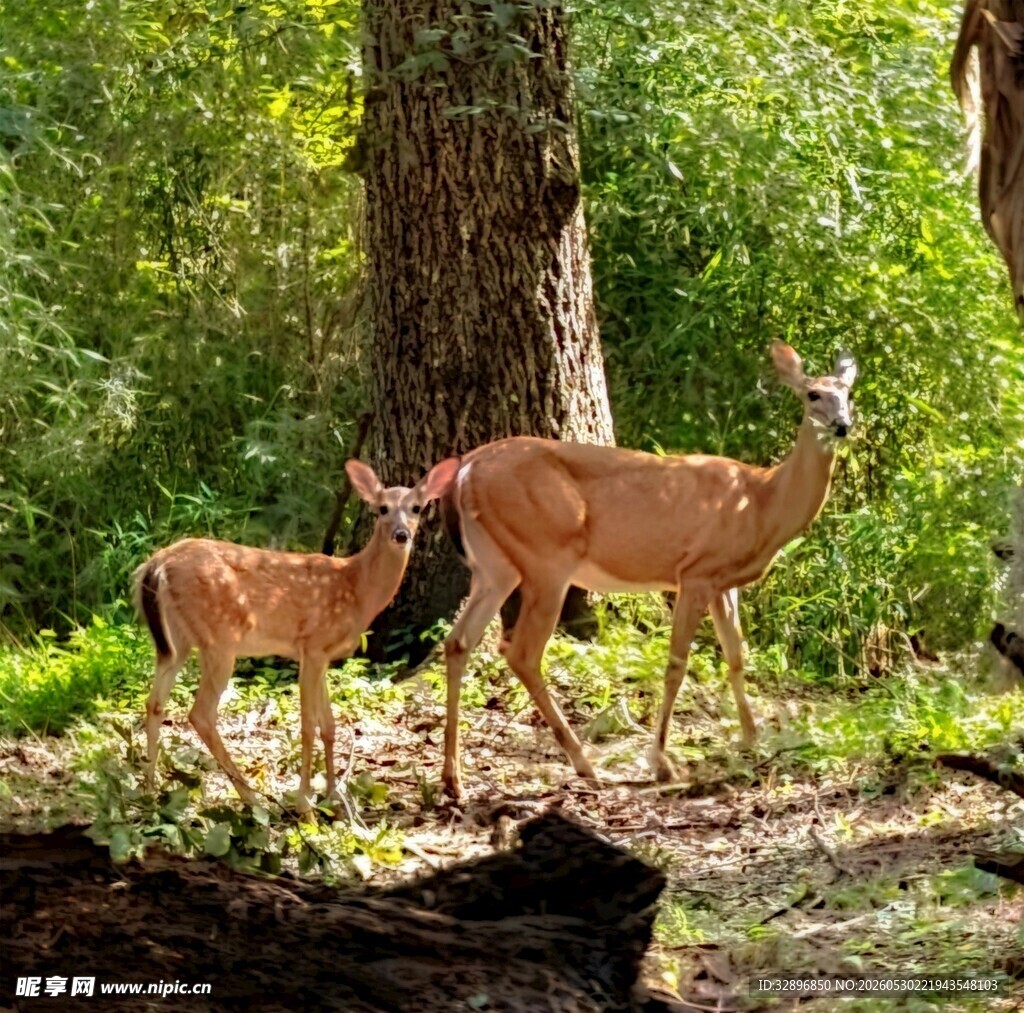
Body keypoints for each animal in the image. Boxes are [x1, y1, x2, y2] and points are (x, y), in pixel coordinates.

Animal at [135, 457, 460, 813]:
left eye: (416, 507)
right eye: (382, 508)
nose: (401, 535)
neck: (357, 587)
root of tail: (156, 564)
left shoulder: (322, 654)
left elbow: (329, 726)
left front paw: (334, 796)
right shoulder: (313, 645)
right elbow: (308, 726)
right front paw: (306, 803)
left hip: (176, 641)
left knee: (154, 702)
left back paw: (149, 789)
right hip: (219, 639)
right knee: (201, 713)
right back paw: (250, 796)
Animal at [440, 341, 857, 799]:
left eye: (848, 394)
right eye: (813, 394)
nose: (842, 426)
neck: (763, 502)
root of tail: (466, 470)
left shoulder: (723, 582)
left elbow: (735, 655)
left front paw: (751, 739)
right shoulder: (695, 572)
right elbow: (677, 664)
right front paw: (662, 761)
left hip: (495, 565)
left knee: (458, 641)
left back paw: (453, 779)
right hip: (546, 556)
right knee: (521, 652)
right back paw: (584, 764)